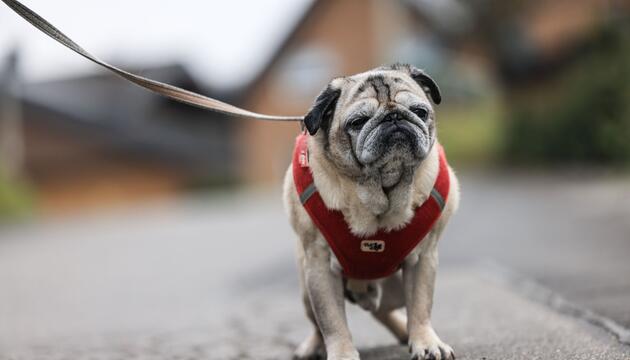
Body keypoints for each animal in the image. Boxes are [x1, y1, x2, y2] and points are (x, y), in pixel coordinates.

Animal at [286, 64, 460, 360]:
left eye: (420, 111)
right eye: (357, 122)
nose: (394, 118)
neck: (381, 190)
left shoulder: (424, 260)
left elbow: (421, 306)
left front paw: (426, 343)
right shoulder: (319, 266)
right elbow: (331, 321)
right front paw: (342, 353)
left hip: (394, 290)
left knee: (384, 311)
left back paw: (403, 332)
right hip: (306, 289)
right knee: (319, 324)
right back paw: (313, 347)